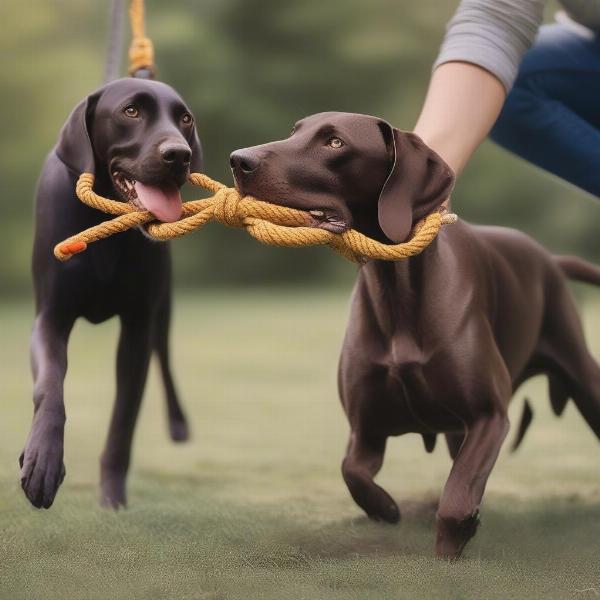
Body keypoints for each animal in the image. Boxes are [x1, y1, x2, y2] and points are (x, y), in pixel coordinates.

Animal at [20, 77, 202, 508]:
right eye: (131, 111)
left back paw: (179, 423)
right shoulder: (50, 319)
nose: (179, 155)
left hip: (162, 311)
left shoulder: (137, 327)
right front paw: (42, 461)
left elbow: (123, 422)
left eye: (184, 118)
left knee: (164, 358)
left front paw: (112, 498)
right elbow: (50, 387)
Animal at [232, 111, 600, 556]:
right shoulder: (367, 429)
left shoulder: (489, 415)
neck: (395, 290)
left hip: (583, 380)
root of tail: (550, 259)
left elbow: (456, 498)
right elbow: (351, 471)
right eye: (294, 132)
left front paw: (453, 538)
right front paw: (386, 509)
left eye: (335, 142)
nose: (238, 160)